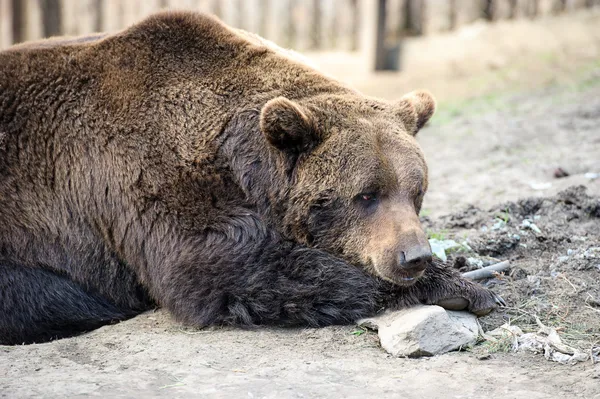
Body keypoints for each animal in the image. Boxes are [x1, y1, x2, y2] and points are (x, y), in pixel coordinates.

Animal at [0, 10, 504, 346]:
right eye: (366, 195)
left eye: (416, 191)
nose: (413, 256)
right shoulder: (145, 178)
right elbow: (219, 268)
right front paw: (459, 286)